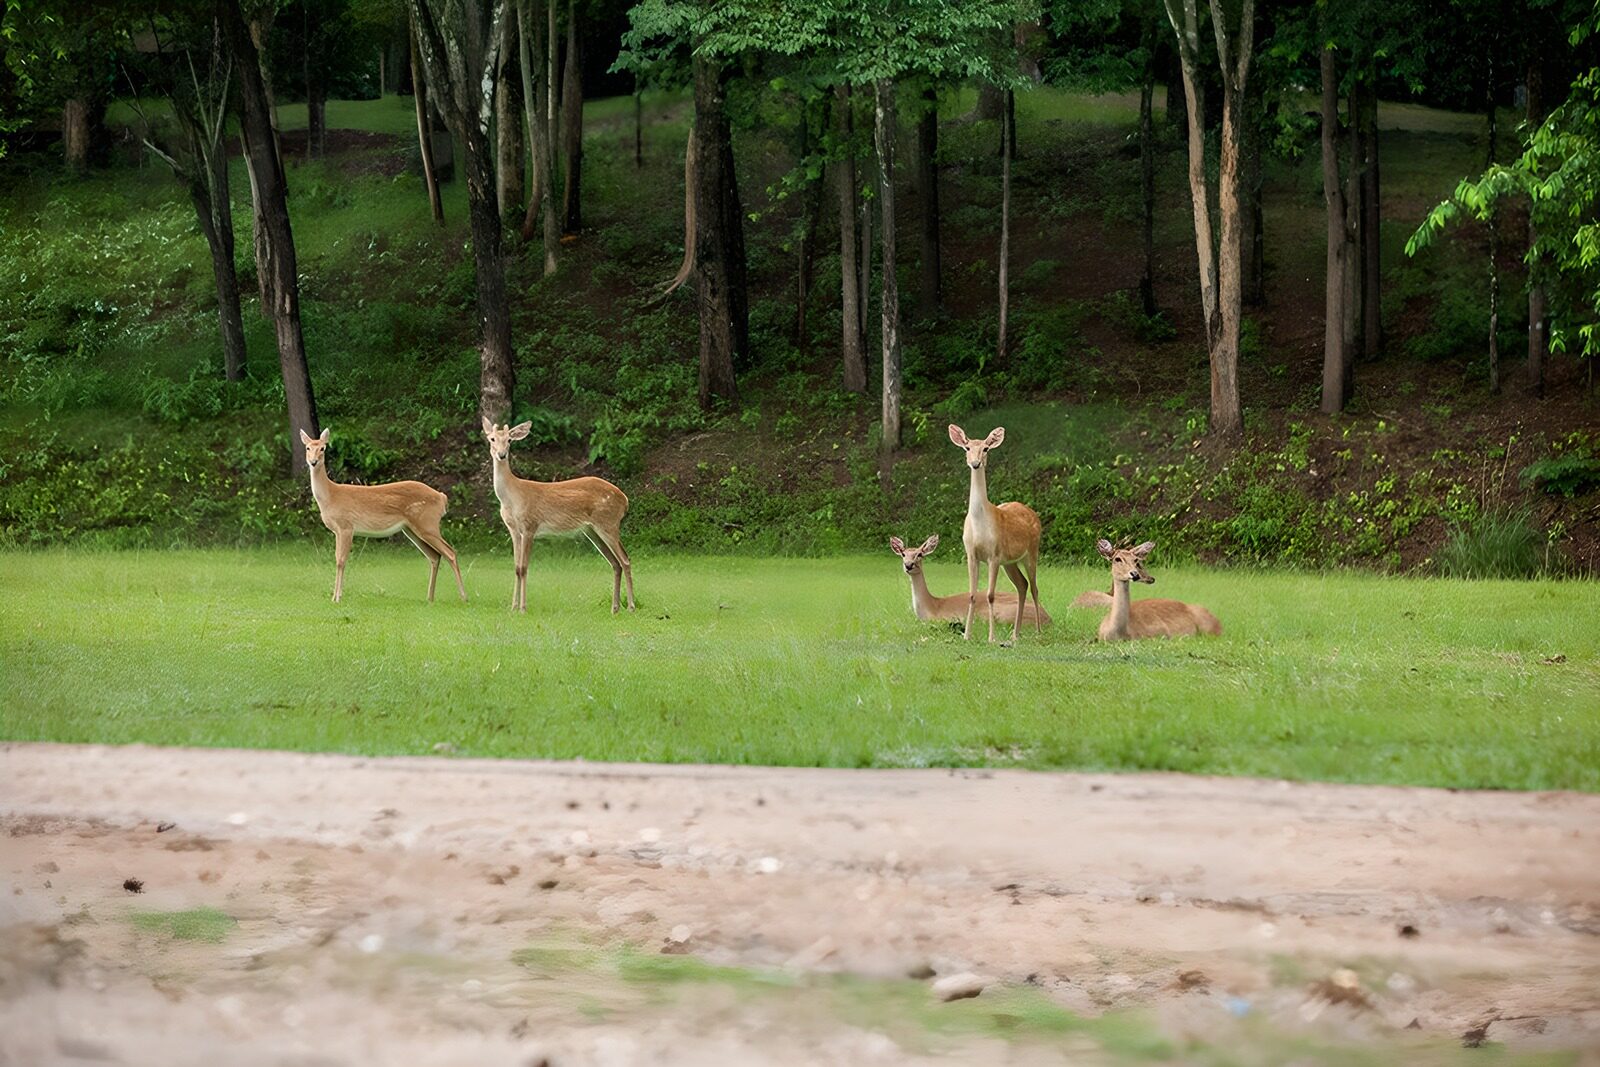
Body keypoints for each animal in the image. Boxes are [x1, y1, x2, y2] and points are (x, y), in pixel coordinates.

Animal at [298, 428, 466, 604]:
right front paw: (336, 596)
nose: (313, 462)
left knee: (450, 552)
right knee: (435, 556)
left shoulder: (346, 526)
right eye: (308, 448)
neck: (330, 496)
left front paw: (336, 598)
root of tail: (442, 497)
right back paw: (430, 598)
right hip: (412, 529)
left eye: (322, 448)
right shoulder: (338, 531)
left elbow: (341, 560)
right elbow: (338, 559)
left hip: (428, 523)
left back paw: (463, 597)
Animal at [481, 418, 635, 613]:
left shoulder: (530, 525)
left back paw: (631, 606)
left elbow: (524, 567)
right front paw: (513, 607)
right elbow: (516, 567)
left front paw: (523, 608)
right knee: (615, 563)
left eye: (509, 440)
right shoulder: (514, 530)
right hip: (593, 530)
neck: (512, 497)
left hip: (608, 523)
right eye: (492, 438)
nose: (501, 454)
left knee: (625, 559)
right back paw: (615, 608)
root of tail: (625, 500)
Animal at [948, 424, 1044, 644]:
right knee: (1022, 585)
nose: (975, 463)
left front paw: (991, 637)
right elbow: (972, 595)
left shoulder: (994, 554)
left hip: (1031, 551)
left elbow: (990, 595)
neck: (980, 524)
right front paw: (967, 635)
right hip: (1009, 562)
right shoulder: (971, 554)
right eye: (967, 448)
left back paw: (1038, 631)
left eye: (985, 449)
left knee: (1034, 587)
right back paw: (1015, 634)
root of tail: (1033, 513)